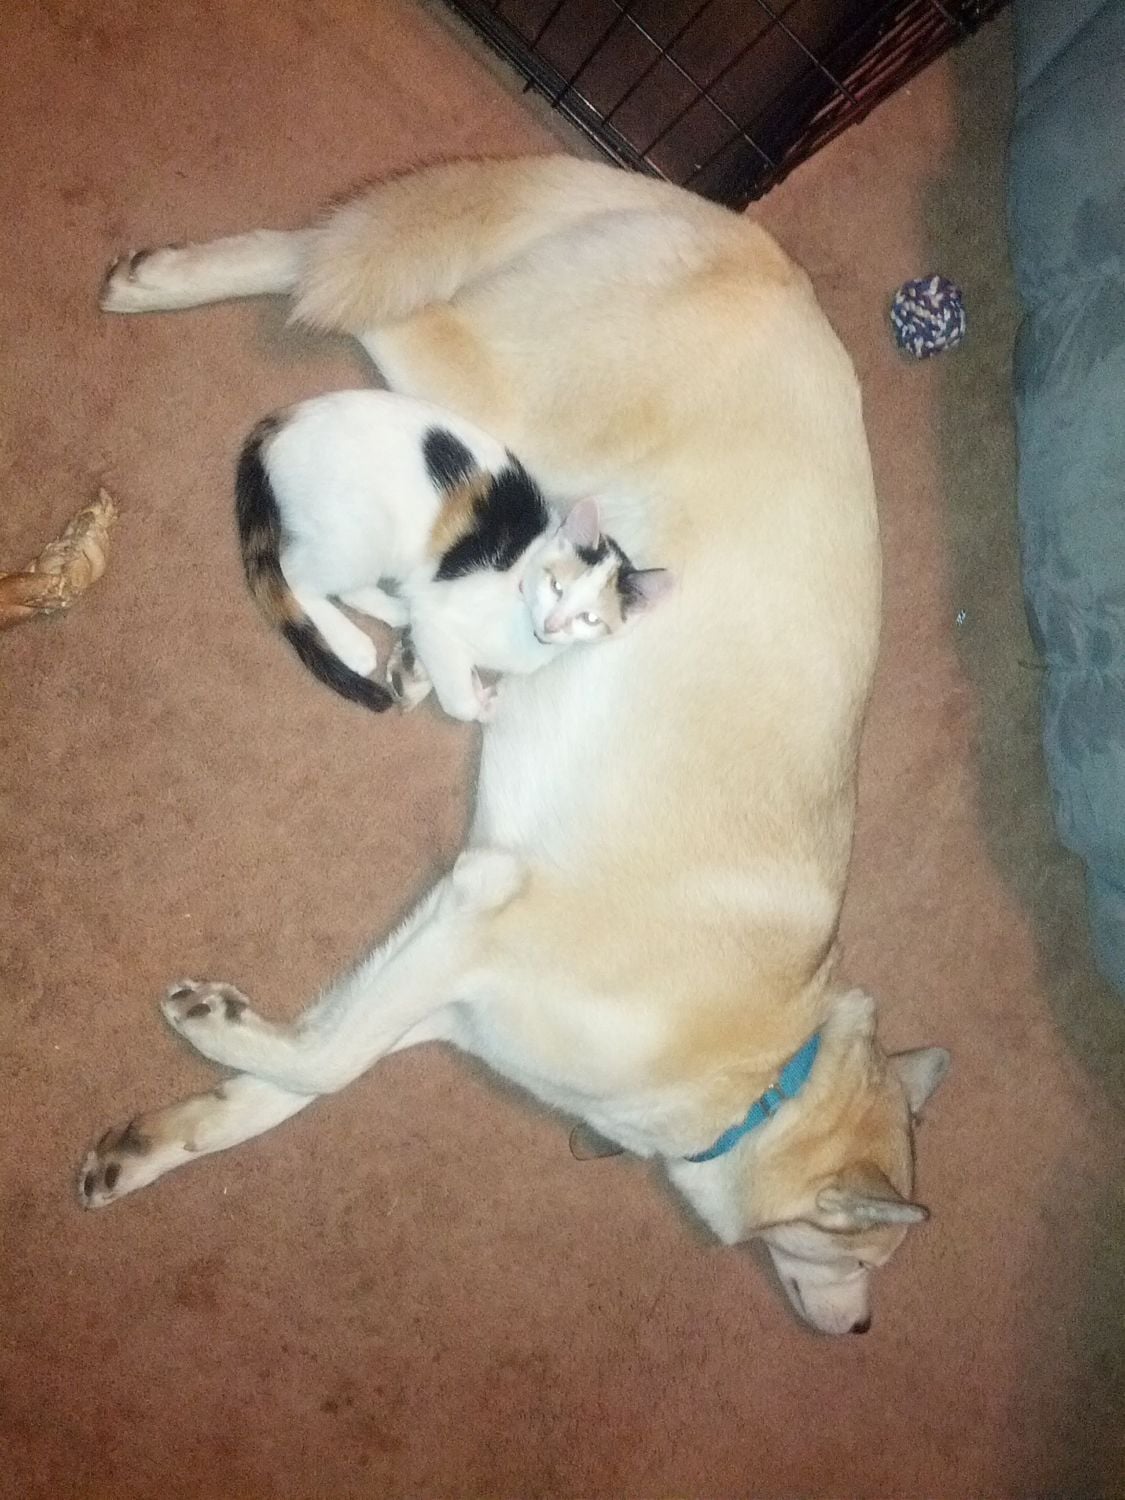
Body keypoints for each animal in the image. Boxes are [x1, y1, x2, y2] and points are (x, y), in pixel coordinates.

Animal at [236, 389, 672, 722]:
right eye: (556, 586)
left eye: (590, 618)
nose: (553, 624)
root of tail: (284, 420)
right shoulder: (439, 617)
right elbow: (459, 702)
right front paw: (479, 702)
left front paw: (424, 671)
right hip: (361, 531)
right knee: (296, 576)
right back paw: (353, 644)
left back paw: (396, 610)